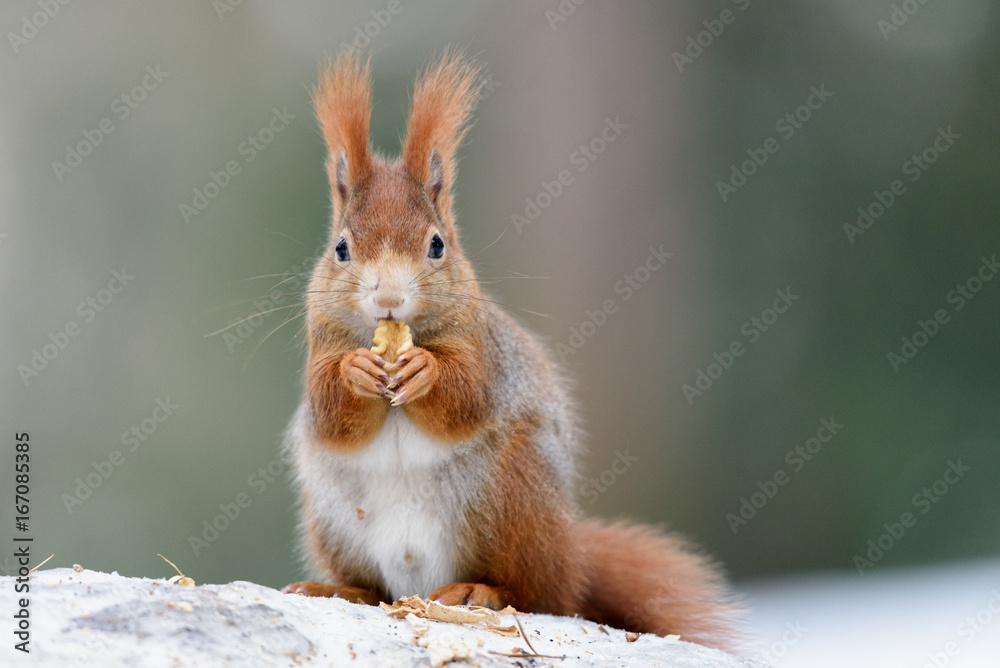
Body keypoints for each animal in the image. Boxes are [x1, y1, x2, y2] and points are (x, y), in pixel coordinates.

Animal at [281, 50, 741, 652]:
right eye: (340, 248)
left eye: (437, 245)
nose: (388, 299)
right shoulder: (322, 345)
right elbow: (332, 414)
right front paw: (357, 370)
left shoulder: (485, 351)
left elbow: (466, 398)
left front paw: (426, 370)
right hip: (335, 519)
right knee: (376, 587)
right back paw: (339, 589)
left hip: (517, 498)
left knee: (539, 591)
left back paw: (481, 591)